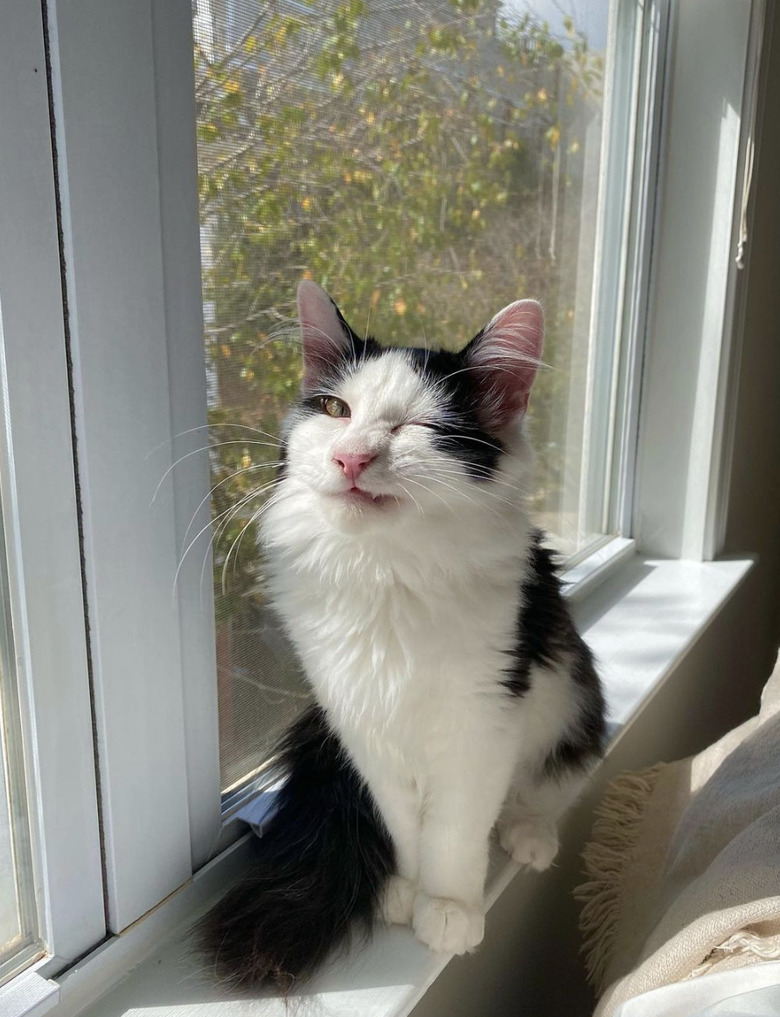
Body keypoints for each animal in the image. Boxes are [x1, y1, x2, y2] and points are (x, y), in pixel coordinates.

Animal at [197, 276, 610, 984]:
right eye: (334, 409)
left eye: (419, 427)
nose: (350, 458)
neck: (387, 569)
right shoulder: (361, 718)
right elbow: (404, 823)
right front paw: (408, 889)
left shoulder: (483, 720)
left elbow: (454, 826)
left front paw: (447, 907)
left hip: (572, 696)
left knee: (549, 780)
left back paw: (529, 831)